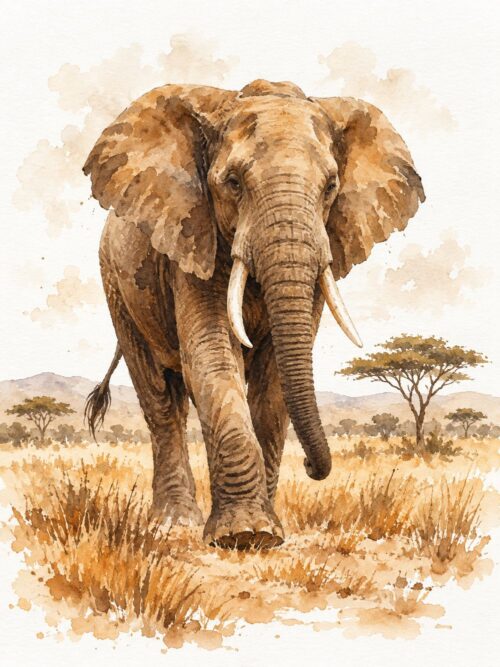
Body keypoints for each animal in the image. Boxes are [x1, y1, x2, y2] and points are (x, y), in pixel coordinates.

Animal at [83, 78, 424, 549]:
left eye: (331, 187)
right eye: (232, 182)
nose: (313, 468)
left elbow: (275, 377)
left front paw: (266, 533)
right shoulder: (194, 240)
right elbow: (211, 356)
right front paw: (244, 535)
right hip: (116, 285)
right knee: (159, 396)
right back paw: (174, 523)